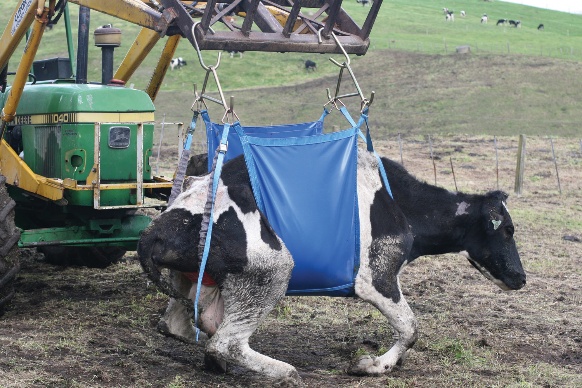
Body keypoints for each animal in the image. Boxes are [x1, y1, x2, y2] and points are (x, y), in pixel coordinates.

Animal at [138, 150, 528, 384]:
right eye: (507, 229)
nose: (521, 278)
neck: (400, 203)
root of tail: (157, 229)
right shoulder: (376, 278)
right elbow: (410, 328)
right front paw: (373, 365)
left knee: (181, 327)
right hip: (273, 269)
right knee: (225, 343)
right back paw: (285, 372)